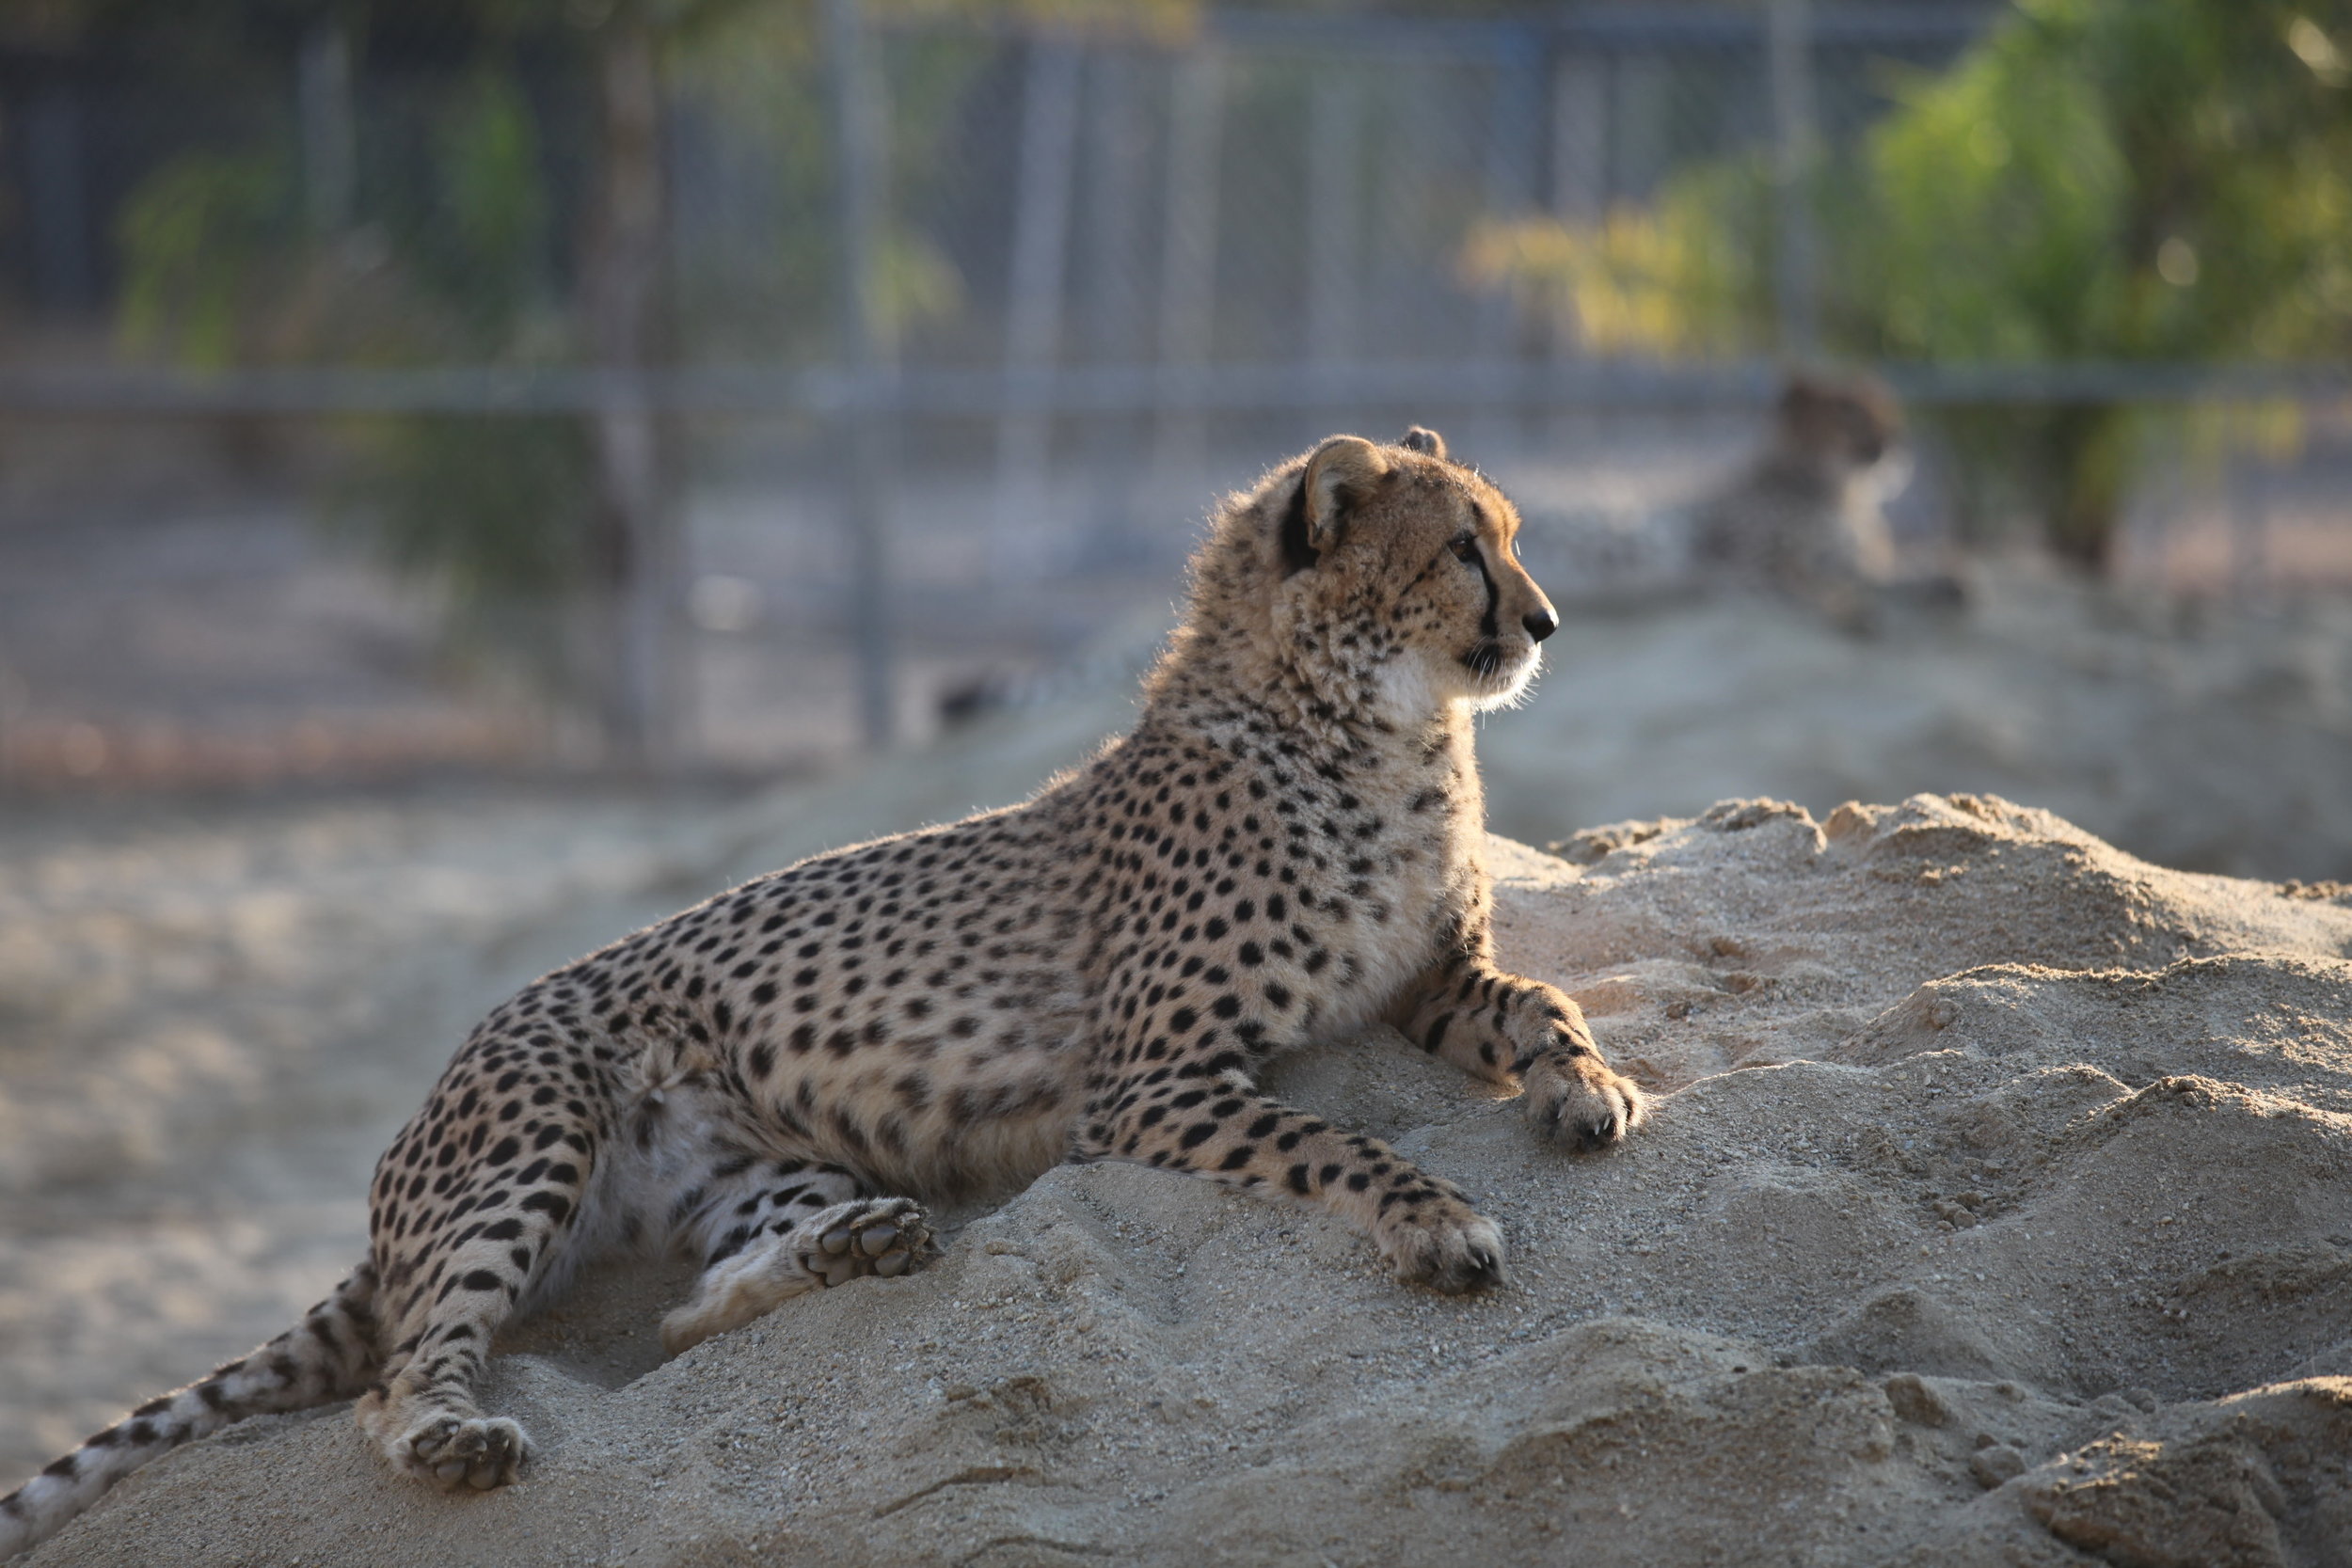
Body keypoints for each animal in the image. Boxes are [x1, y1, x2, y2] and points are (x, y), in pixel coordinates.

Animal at [4, 425, 1656, 1560]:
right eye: (1464, 547)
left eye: (1509, 537)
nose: (1549, 621)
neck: (1373, 728)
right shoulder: (1151, 1079)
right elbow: (1337, 1139)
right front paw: (1439, 1220)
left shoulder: (1429, 981)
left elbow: (1538, 1003)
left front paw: (1590, 1085)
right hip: (530, 1138)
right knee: (404, 1373)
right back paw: (462, 1436)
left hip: (748, 1171)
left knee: (685, 1314)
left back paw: (860, 1242)